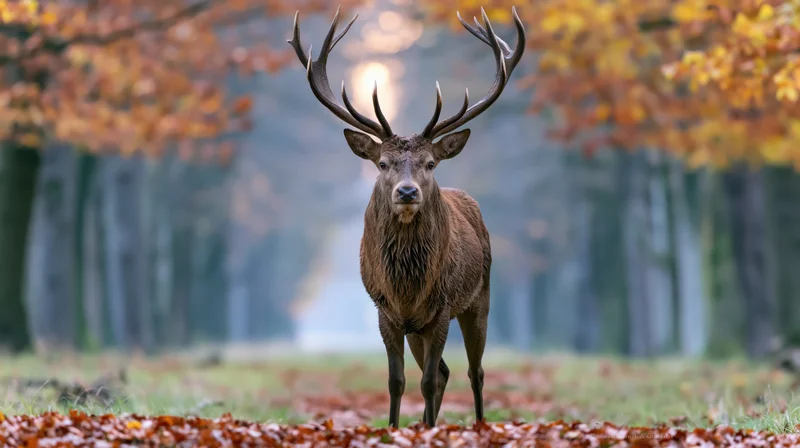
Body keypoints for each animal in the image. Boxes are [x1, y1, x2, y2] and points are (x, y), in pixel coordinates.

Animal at [288, 5, 525, 428]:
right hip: (419, 326)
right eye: (382, 163)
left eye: (430, 163)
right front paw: (395, 428)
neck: (407, 284)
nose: (408, 192)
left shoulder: (442, 307)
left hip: (480, 296)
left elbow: (427, 381)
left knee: (474, 371)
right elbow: (396, 381)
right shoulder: (386, 311)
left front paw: (426, 430)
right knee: (446, 371)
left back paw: (478, 424)